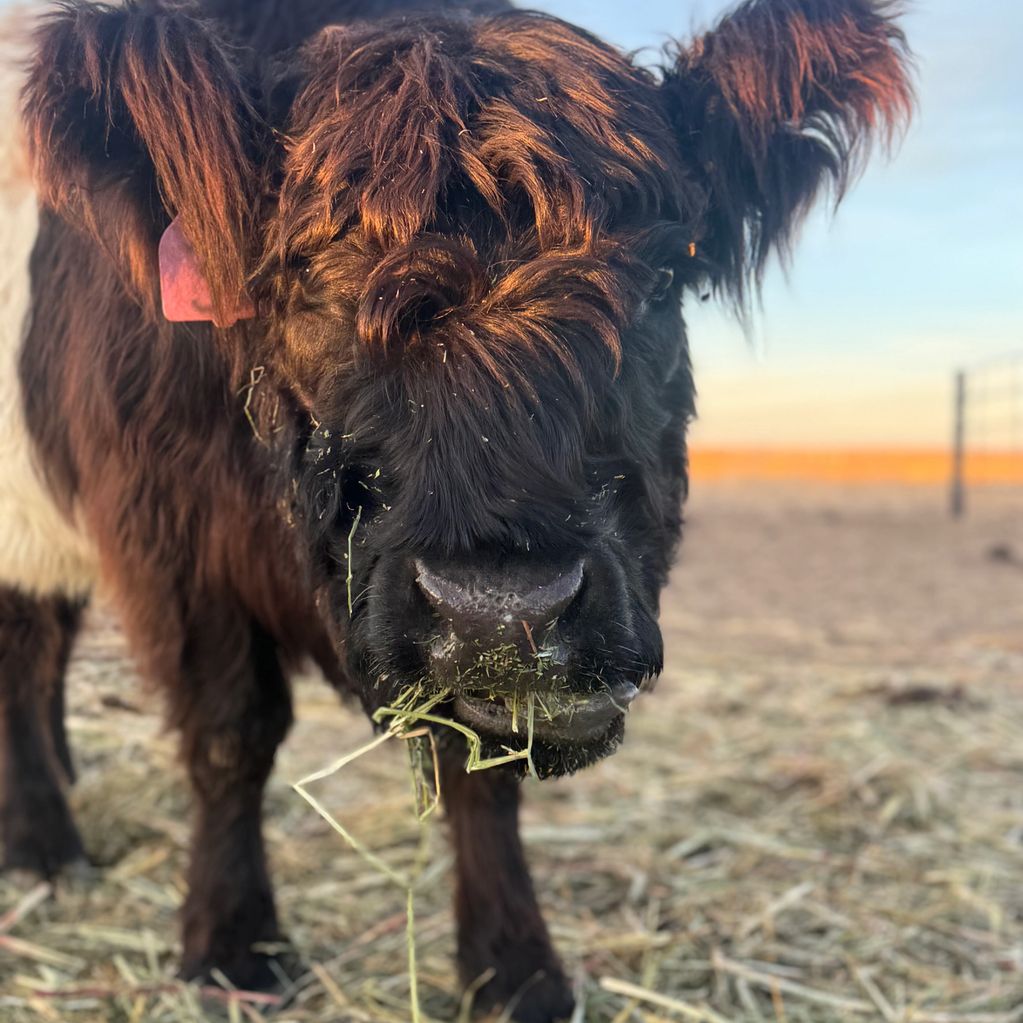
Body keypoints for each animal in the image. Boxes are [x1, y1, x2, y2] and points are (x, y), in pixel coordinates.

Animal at [0, 1, 912, 1014]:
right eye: (304, 283)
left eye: (667, 274)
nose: (504, 610)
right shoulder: (171, 542)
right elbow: (230, 735)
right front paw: (233, 944)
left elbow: (482, 771)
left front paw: (514, 965)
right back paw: (42, 841)